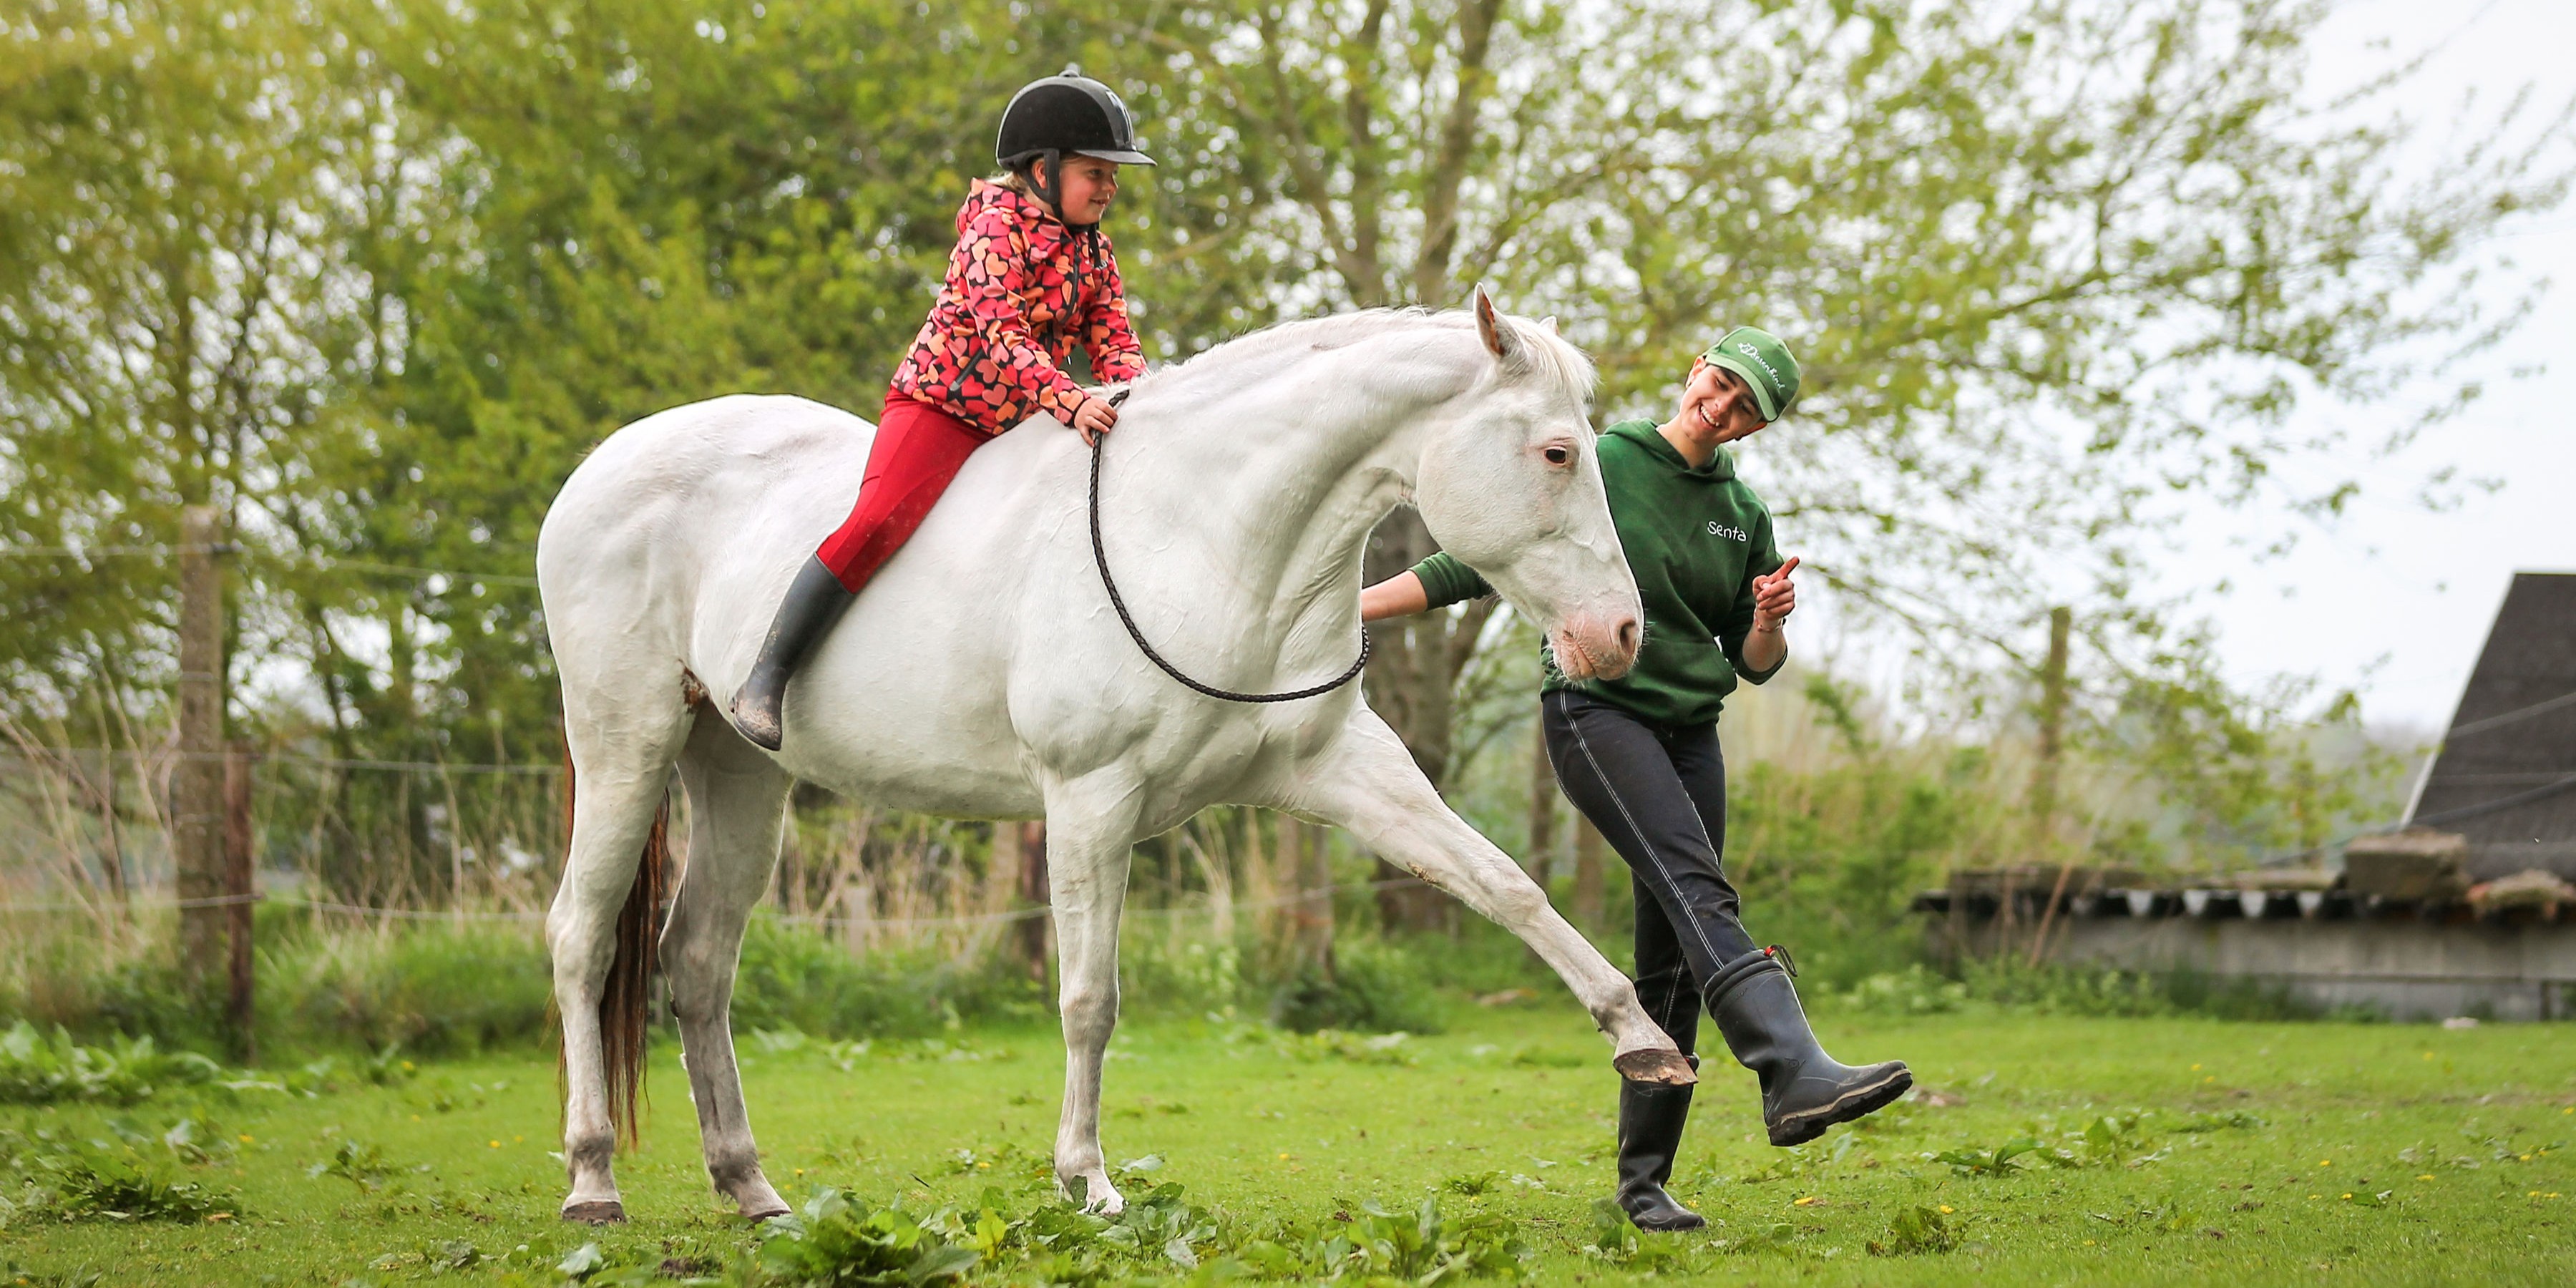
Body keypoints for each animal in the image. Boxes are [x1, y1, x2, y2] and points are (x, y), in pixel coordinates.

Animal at [536, 291, 1691, 1224]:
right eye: (1557, 453)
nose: (1620, 635)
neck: (1202, 533)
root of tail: (599, 467)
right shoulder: (1093, 800)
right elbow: (1089, 999)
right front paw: (1086, 1180)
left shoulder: (1343, 769)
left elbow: (1506, 885)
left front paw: (1642, 1039)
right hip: (627, 745)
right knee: (582, 939)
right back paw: (592, 1181)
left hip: (741, 774)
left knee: (697, 964)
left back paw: (750, 1188)